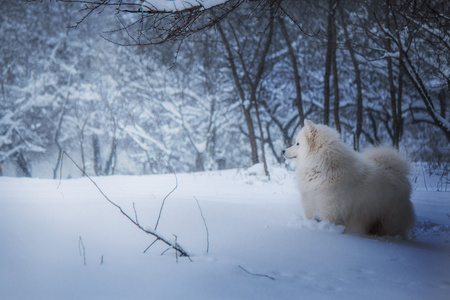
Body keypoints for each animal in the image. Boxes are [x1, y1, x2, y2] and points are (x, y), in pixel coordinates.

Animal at [284, 119, 414, 237]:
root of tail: (396, 170)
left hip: (390, 219)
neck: (321, 167)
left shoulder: (330, 212)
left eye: (297, 143)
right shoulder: (310, 206)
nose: (283, 151)